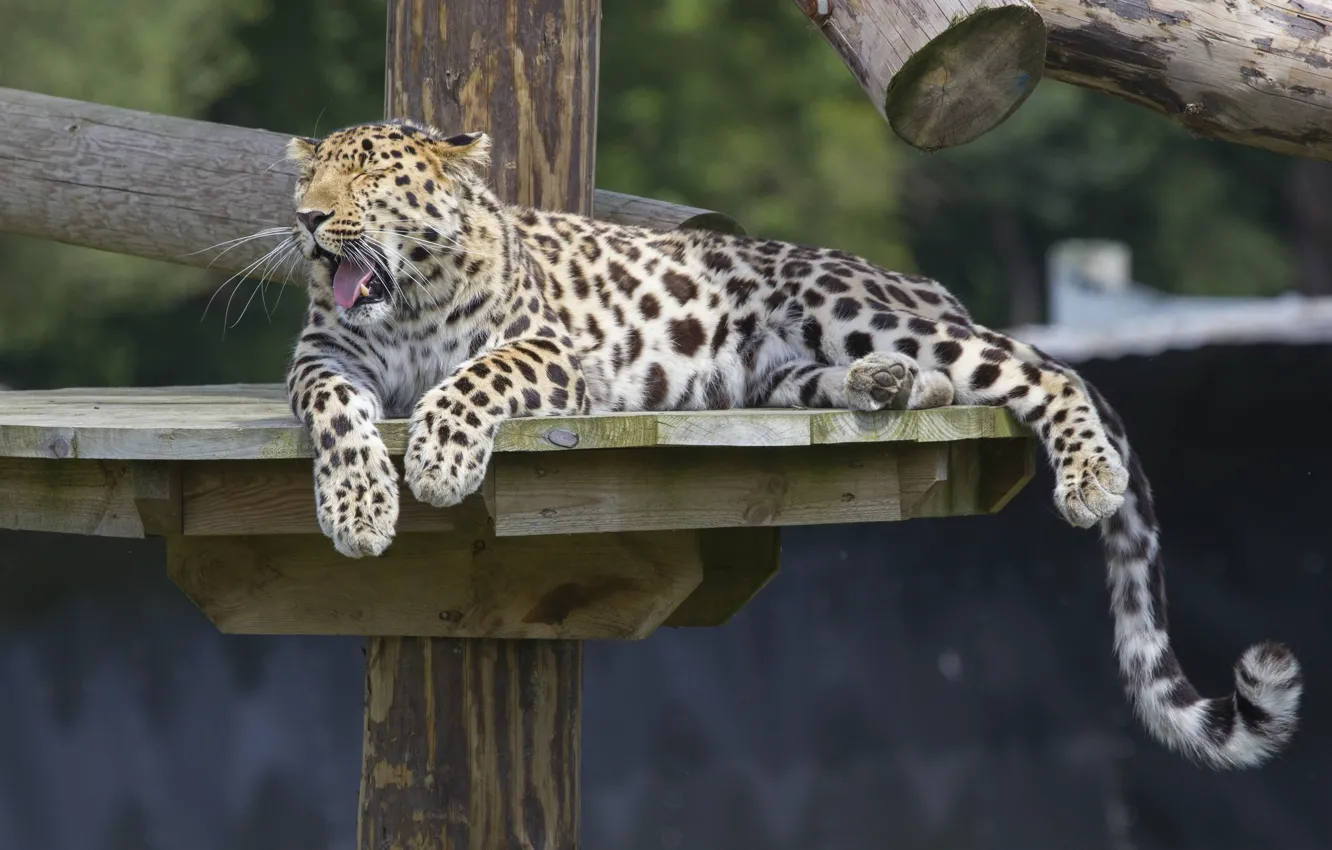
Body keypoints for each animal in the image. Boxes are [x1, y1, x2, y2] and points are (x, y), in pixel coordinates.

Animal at [280, 119, 1301, 770]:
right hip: (783, 371)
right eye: (308, 178)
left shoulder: (550, 350)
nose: (306, 221)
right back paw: (888, 387)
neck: (406, 303)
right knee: (922, 380)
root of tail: (930, 289)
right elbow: (336, 412)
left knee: (1038, 372)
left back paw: (1085, 472)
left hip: (845, 305)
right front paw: (358, 506)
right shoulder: (324, 358)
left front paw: (437, 463)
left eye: (366, 179)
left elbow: (470, 383)